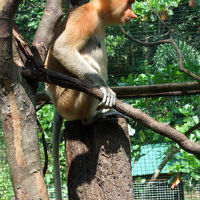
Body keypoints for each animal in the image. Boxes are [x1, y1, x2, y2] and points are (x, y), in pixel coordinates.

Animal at [44, 0, 137, 198]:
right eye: (129, 4)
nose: (133, 14)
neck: (98, 11)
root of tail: (55, 102)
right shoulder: (86, 18)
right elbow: (62, 49)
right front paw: (105, 88)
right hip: (68, 101)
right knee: (88, 64)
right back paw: (94, 116)